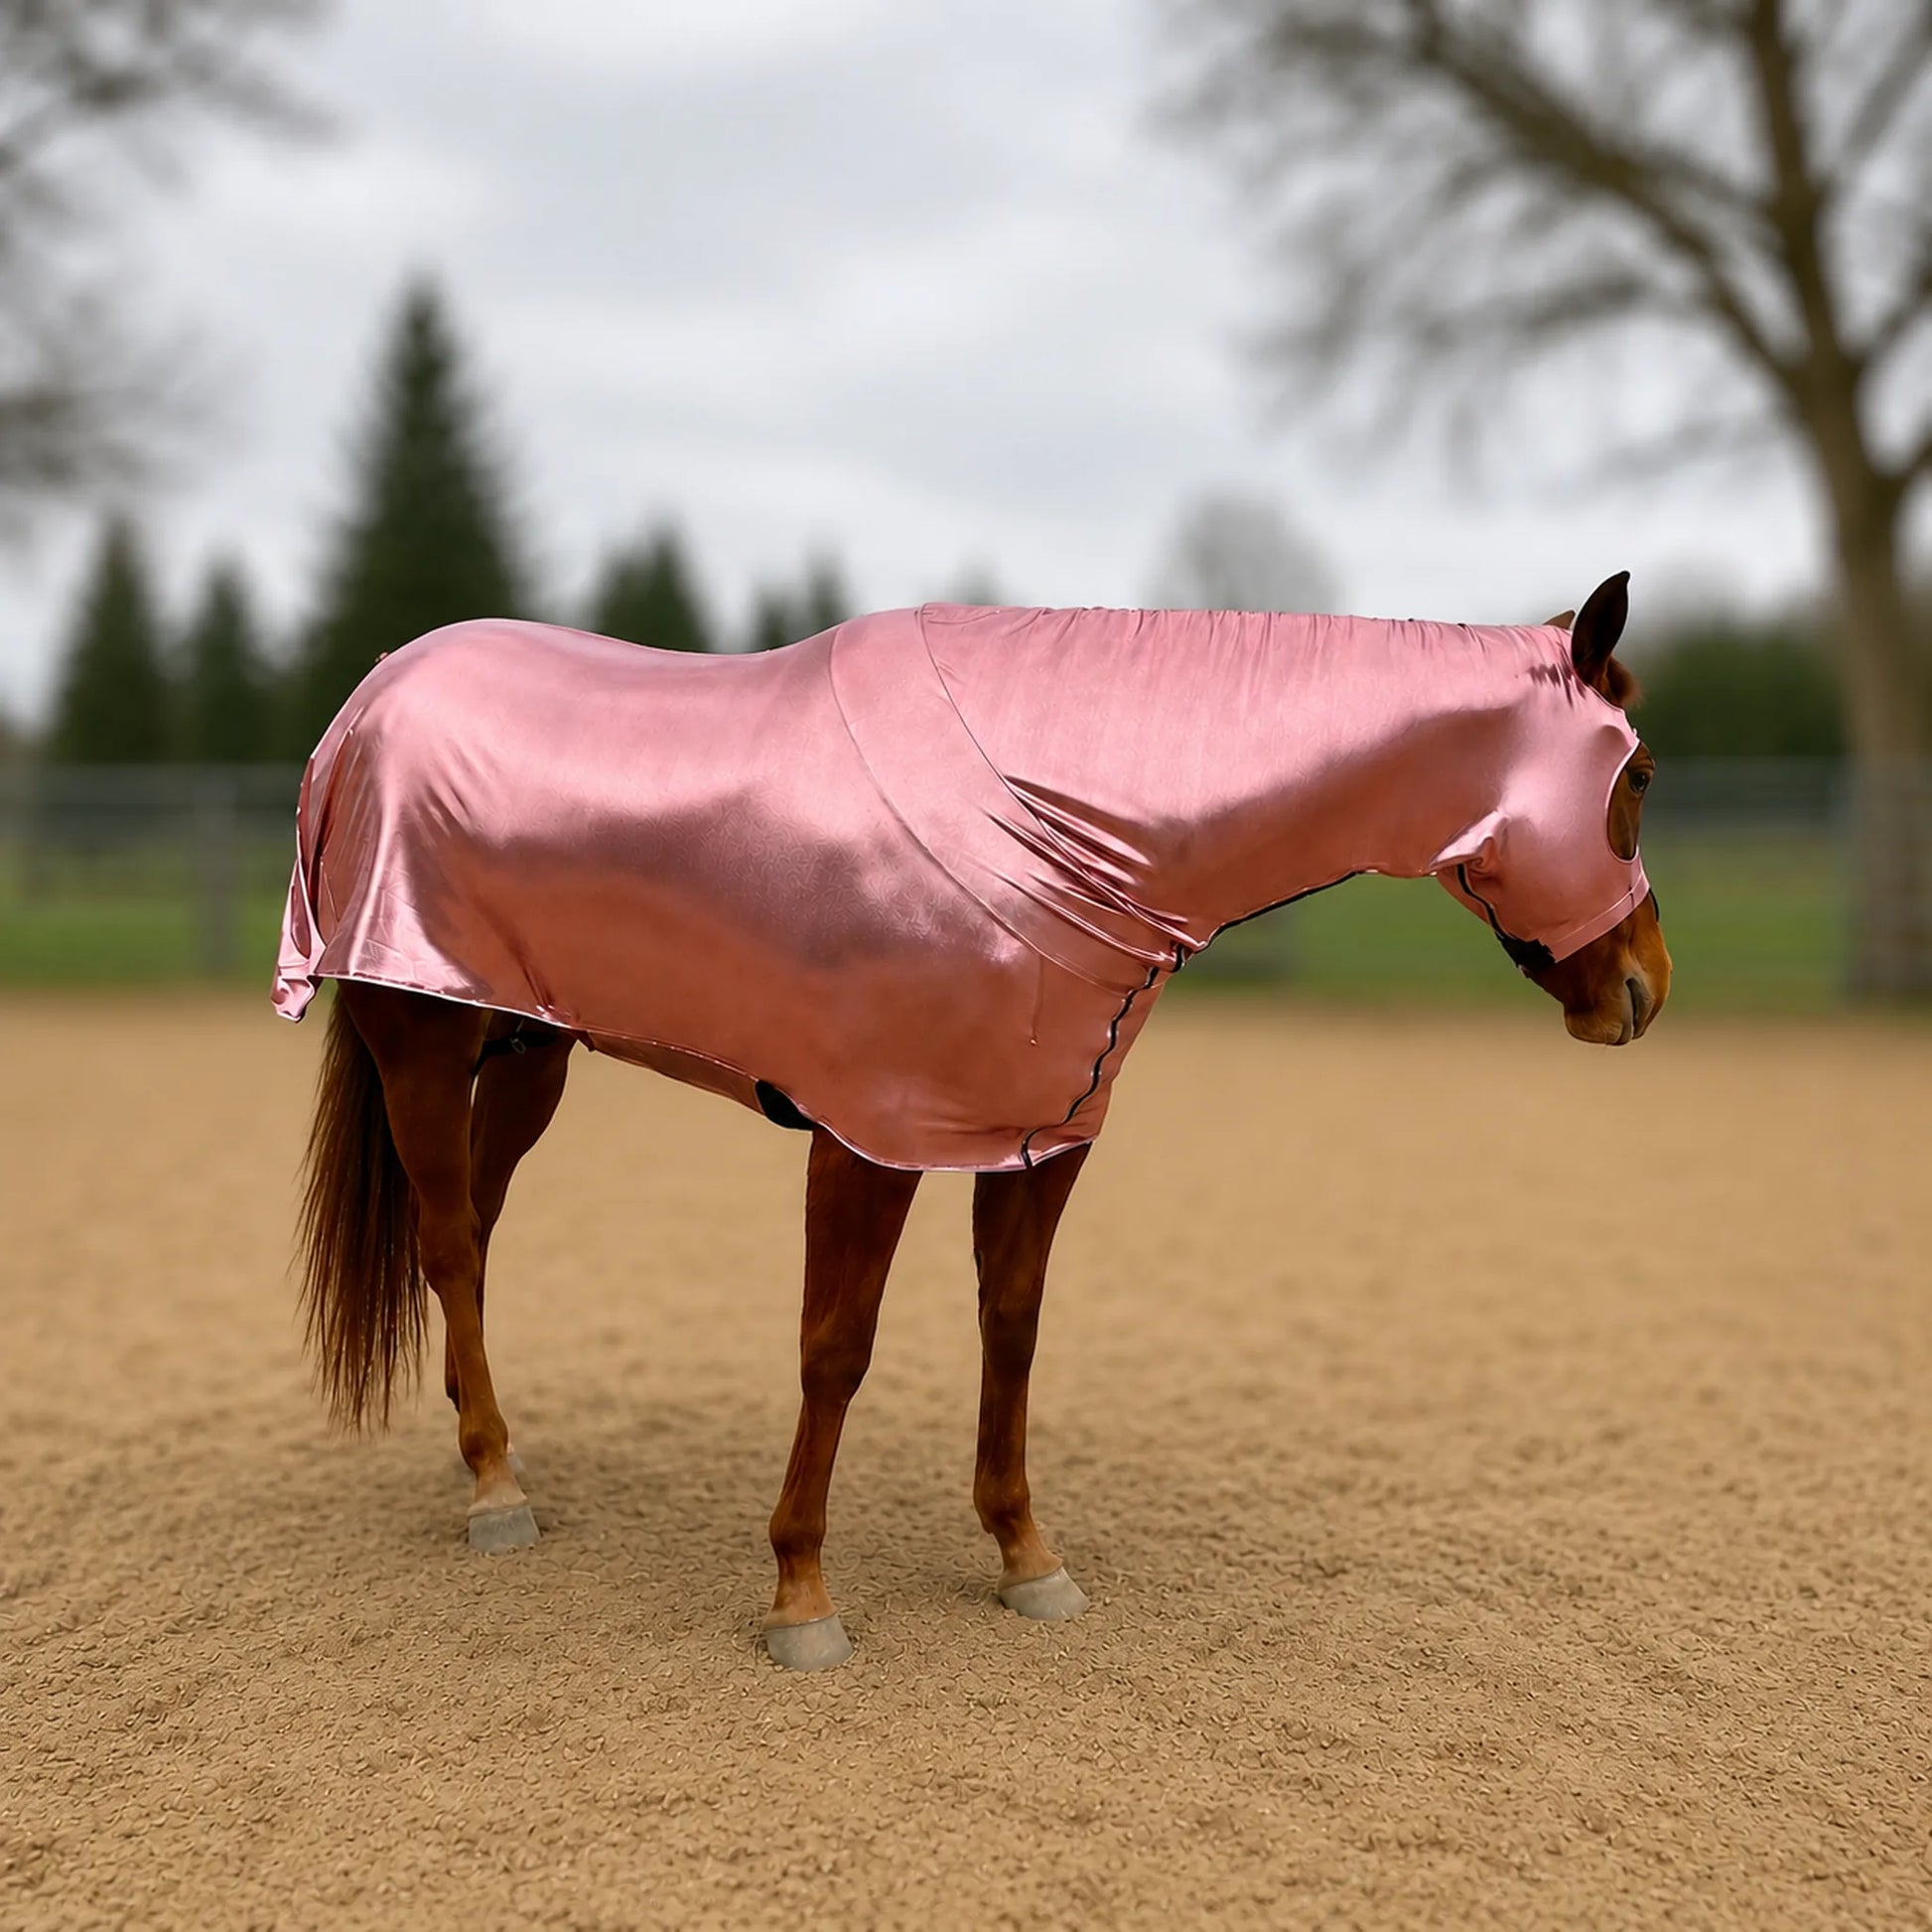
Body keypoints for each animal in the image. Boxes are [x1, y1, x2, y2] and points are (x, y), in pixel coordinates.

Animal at [282, 572, 1670, 1670]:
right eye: (1637, 774)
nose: (1643, 991)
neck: (1059, 793)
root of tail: (374, 697)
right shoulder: (864, 1136)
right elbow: (834, 1348)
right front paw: (800, 1594)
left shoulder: (1038, 1136)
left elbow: (1013, 1326)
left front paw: (1024, 1554)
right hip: (422, 1036)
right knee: (448, 1242)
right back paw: (494, 1489)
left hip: (527, 1047)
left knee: (466, 1234)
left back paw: (482, 1452)